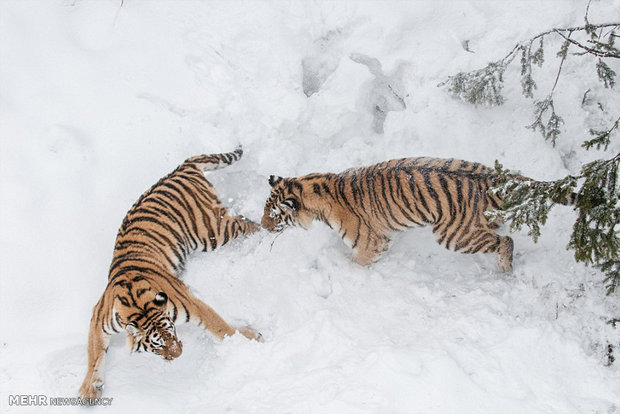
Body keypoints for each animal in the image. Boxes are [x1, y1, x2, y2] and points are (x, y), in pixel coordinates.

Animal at [78, 147, 262, 400]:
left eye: (172, 332)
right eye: (157, 345)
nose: (179, 354)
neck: (138, 307)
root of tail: (181, 168)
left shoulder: (192, 304)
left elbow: (219, 326)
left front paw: (248, 339)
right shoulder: (99, 317)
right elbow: (94, 352)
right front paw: (89, 387)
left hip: (213, 231)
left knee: (249, 223)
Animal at [260, 157, 576, 270]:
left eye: (274, 215)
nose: (261, 226)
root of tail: (495, 177)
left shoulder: (371, 242)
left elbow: (359, 262)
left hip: (454, 235)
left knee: (506, 242)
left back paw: (505, 270)